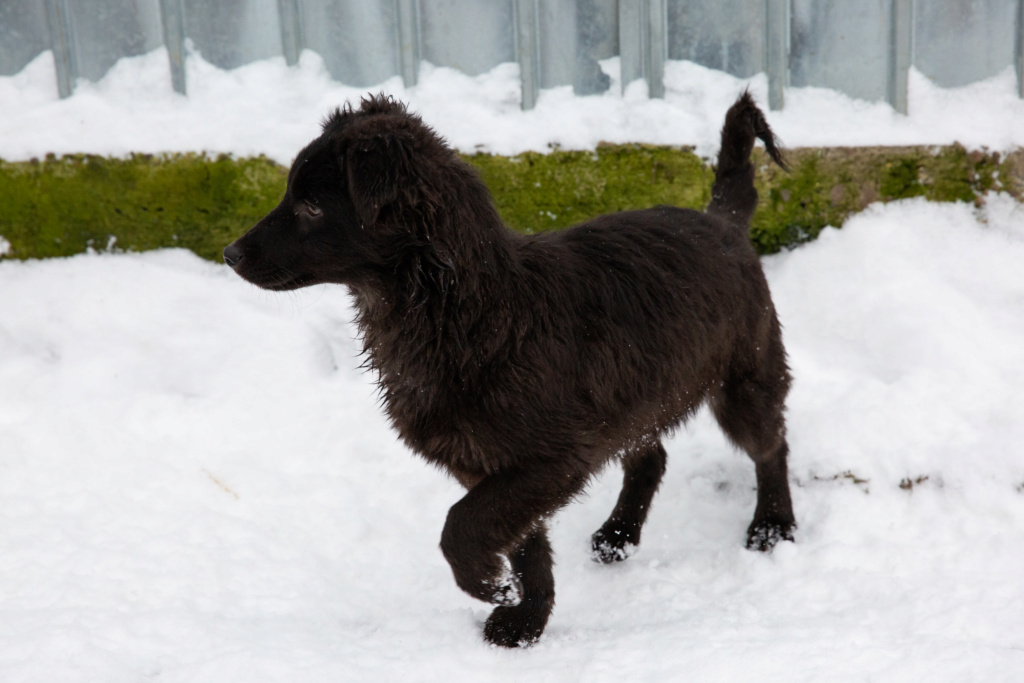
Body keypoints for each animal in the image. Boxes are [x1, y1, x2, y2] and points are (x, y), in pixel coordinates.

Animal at [226, 93, 790, 651]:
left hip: (744, 379)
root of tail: (724, 221)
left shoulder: (552, 458)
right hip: (638, 395)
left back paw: (773, 526)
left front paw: (487, 585)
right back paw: (619, 535)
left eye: (312, 207)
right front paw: (523, 615)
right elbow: (523, 544)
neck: (467, 312)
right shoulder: (493, 465)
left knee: (770, 447)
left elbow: (462, 524)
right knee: (649, 456)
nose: (229, 254)